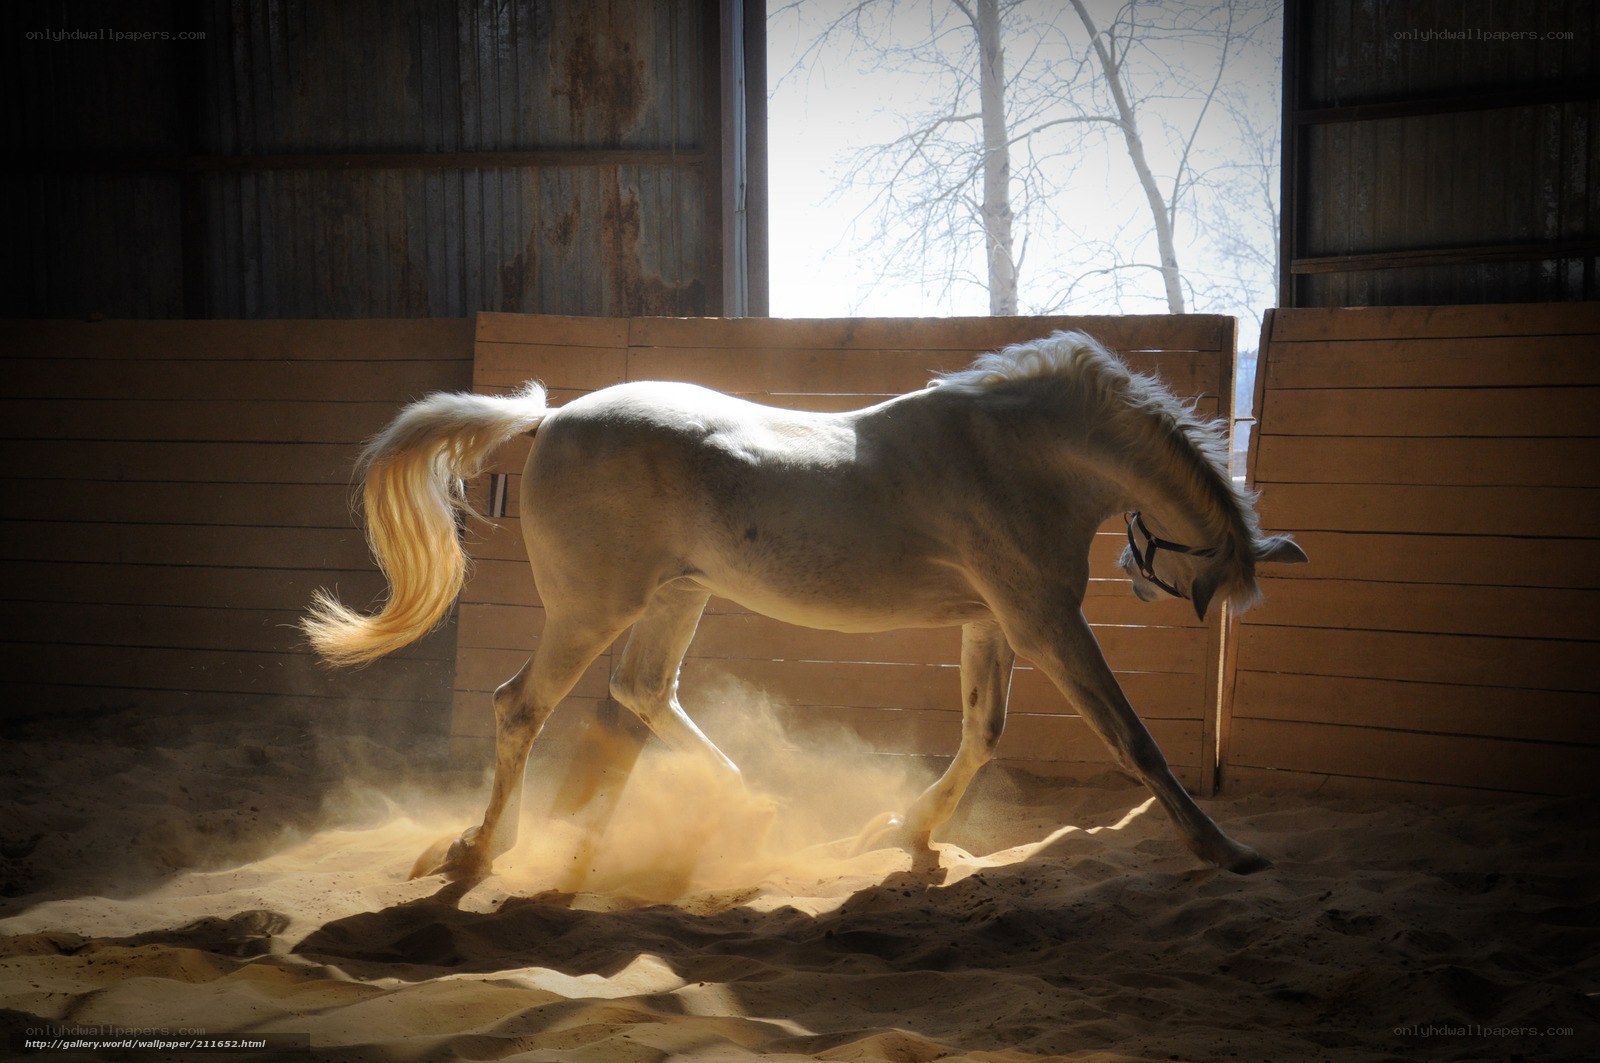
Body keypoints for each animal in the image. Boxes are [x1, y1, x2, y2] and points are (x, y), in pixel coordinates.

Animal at [303, 330, 1307, 883]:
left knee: (643, 692)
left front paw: (905, 831)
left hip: (677, 597)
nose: (1146, 578)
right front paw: (1226, 849)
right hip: (591, 609)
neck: (1017, 453)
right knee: (522, 706)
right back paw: (479, 850)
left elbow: (982, 732)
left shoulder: (993, 624)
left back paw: (750, 805)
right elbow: (1133, 740)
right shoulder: (1045, 621)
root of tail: (550, 419)